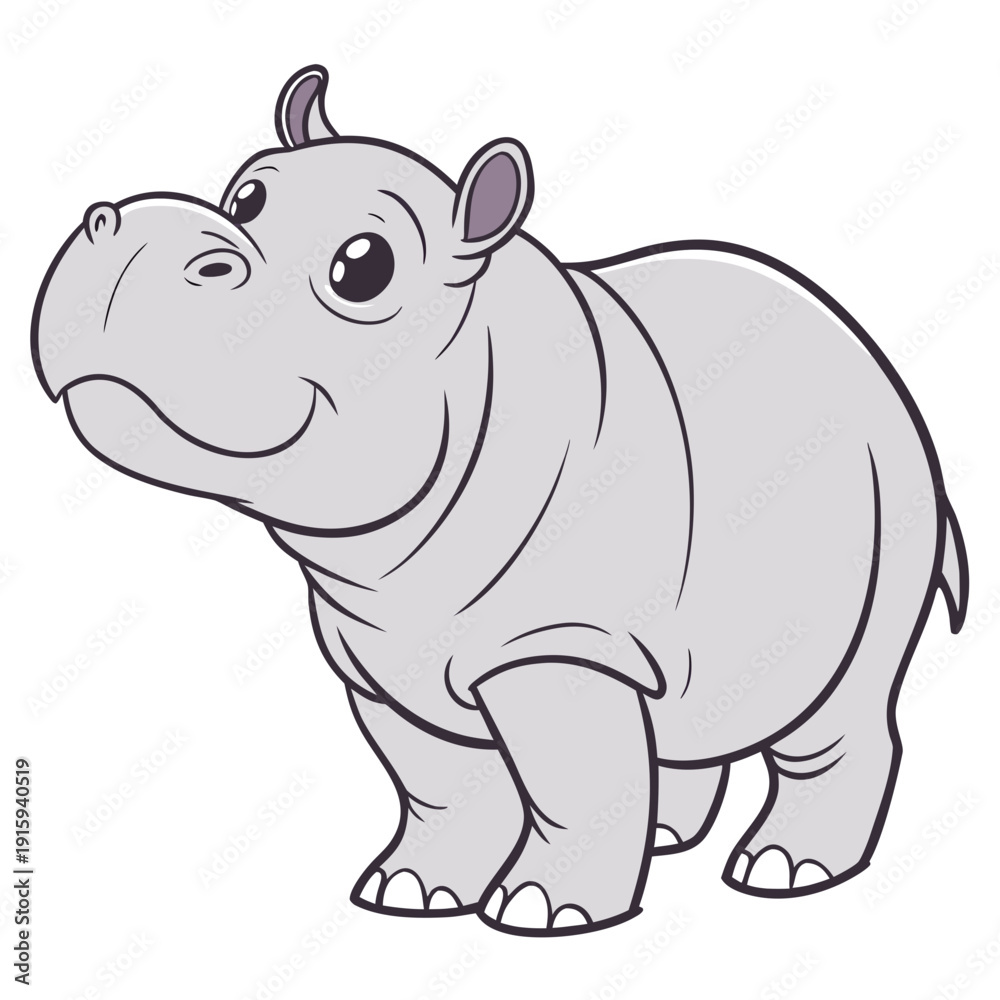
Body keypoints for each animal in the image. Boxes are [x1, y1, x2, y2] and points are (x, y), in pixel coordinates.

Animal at [32, 65, 968, 936]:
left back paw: (784, 872)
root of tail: (870, 353)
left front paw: (543, 914)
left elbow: (568, 780)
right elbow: (437, 785)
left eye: (362, 269)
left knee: (836, 709)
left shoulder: (557, 646)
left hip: (890, 500)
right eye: (246, 197)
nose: (120, 229)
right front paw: (407, 894)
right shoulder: (375, 656)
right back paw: (669, 838)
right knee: (692, 700)